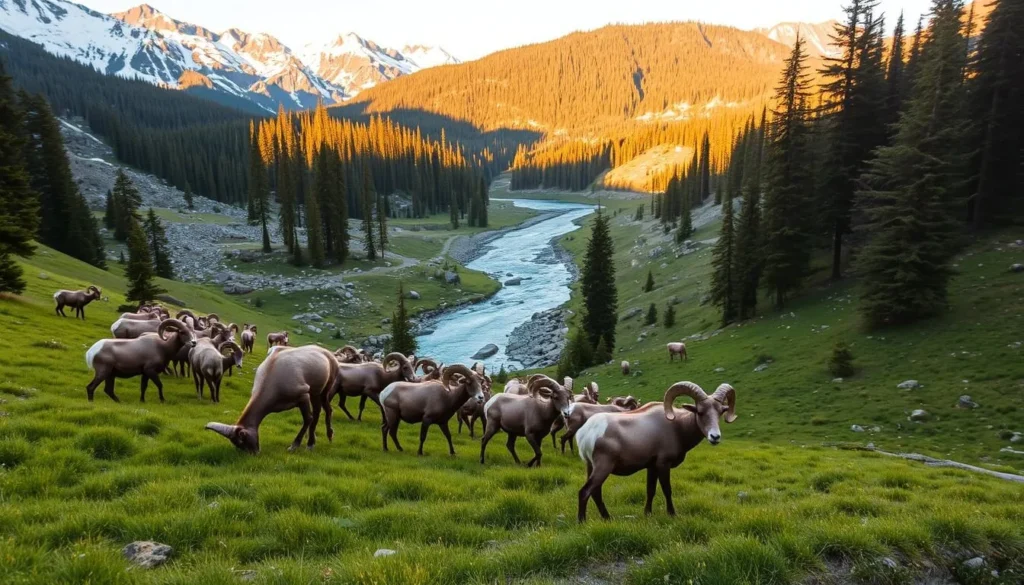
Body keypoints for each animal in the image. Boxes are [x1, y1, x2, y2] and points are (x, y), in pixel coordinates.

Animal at [205, 344, 339, 453]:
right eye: (238, 445)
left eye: (242, 440)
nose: (254, 453)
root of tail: (326, 352)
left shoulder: (303, 395)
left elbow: (308, 418)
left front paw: (294, 445)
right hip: (316, 392)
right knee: (323, 410)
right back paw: (322, 437)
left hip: (323, 388)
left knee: (321, 411)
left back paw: (318, 440)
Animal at [575, 381, 736, 522]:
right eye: (700, 411)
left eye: (720, 412)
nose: (715, 437)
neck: (677, 427)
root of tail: (585, 432)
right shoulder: (663, 464)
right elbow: (667, 489)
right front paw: (672, 514)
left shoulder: (651, 467)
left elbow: (650, 490)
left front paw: (647, 513)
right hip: (603, 467)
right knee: (585, 491)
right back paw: (582, 521)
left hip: (591, 466)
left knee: (595, 492)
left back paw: (607, 518)